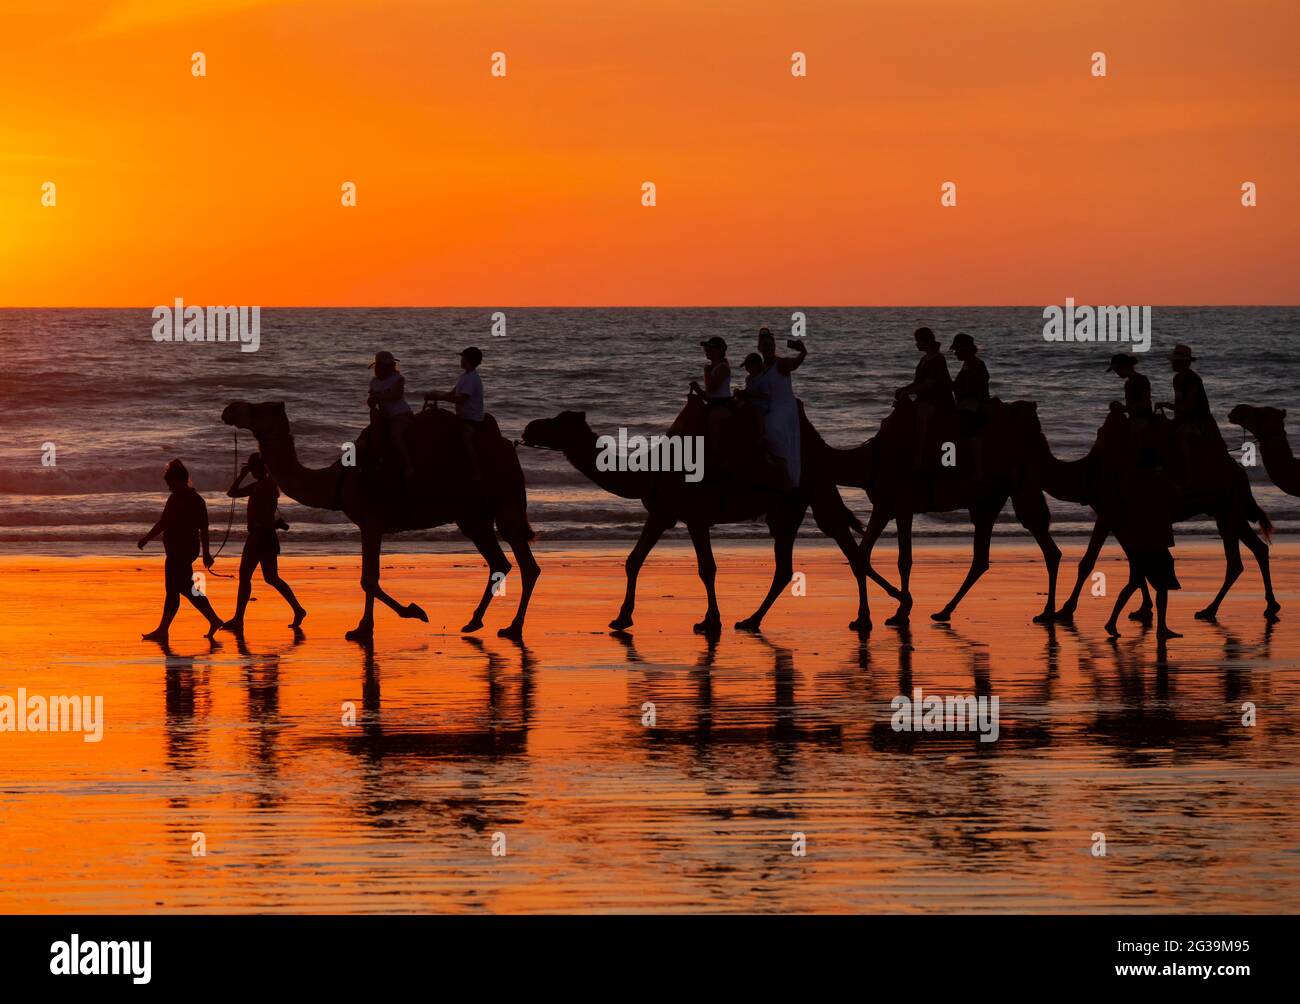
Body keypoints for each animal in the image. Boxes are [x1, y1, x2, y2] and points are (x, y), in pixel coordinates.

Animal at [226, 397, 540, 639]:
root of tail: (507, 448)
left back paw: (513, 627)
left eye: (257, 409)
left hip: (504, 502)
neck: (339, 478)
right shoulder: (370, 524)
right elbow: (369, 579)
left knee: (526, 563)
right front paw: (385, 620)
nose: (230, 408)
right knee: (501, 562)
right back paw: (475, 622)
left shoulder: (371, 521)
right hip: (473, 517)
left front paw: (381, 623)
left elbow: (368, 579)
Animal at [517, 395, 894, 632]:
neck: (649, 470)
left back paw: (863, 619)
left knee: (849, 549)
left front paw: (710, 621)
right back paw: (751, 620)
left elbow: (706, 568)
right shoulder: (663, 512)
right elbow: (634, 560)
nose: (528, 427)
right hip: (786, 509)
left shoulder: (694, 516)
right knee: (787, 566)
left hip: (818, 488)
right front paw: (622, 618)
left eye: (557, 422)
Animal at [826, 397, 1060, 619]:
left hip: (1012, 487)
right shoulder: (887, 507)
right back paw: (945, 611)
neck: (870, 460)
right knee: (990, 554)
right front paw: (872, 615)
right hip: (994, 497)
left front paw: (899, 611)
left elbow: (902, 560)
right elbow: (864, 555)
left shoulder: (900, 505)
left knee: (1034, 533)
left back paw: (1047, 611)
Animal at [1024, 403, 1279, 624]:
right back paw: (1268, 605)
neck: (1087, 472)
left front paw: (1064, 610)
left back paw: (1211, 609)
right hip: (1227, 511)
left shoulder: (1108, 512)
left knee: (1236, 560)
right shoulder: (1120, 519)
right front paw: (1143, 609)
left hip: (1227, 510)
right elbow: (1135, 559)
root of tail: (1239, 471)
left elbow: (1089, 561)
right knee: (1258, 549)